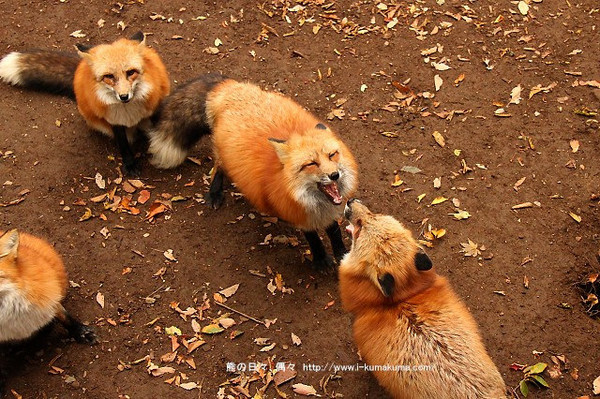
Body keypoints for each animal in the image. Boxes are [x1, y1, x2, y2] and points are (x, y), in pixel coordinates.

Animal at [0, 31, 170, 175]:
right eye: (109, 76)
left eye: (131, 72)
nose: (124, 96)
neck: (128, 112)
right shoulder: (114, 121)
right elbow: (123, 146)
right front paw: (130, 164)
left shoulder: (154, 110)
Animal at [147, 75, 358, 268]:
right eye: (311, 164)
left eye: (332, 155)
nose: (334, 175)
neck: (317, 204)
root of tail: (229, 87)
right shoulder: (297, 213)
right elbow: (314, 238)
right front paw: (321, 260)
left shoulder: (329, 210)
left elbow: (335, 232)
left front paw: (341, 255)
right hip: (223, 154)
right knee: (218, 167)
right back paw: (215, 193)